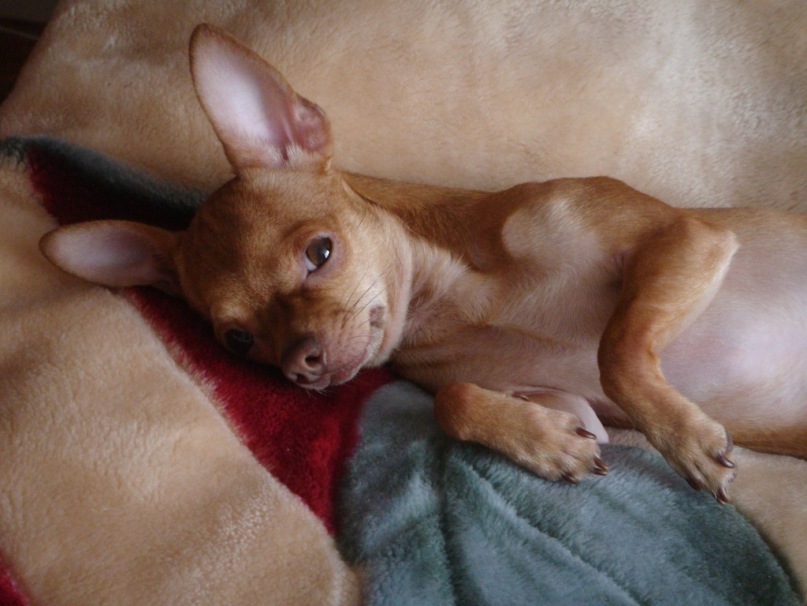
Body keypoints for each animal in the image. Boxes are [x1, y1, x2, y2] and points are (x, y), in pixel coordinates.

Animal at [39, 24, 807, 503]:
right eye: (237, 340)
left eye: (320, 252)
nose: (300, 365)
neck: (455, 301)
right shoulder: (569, 401)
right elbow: (455, 399)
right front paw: (543, 443)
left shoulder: (688, 238)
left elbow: (618, 349)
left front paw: (685, 439)